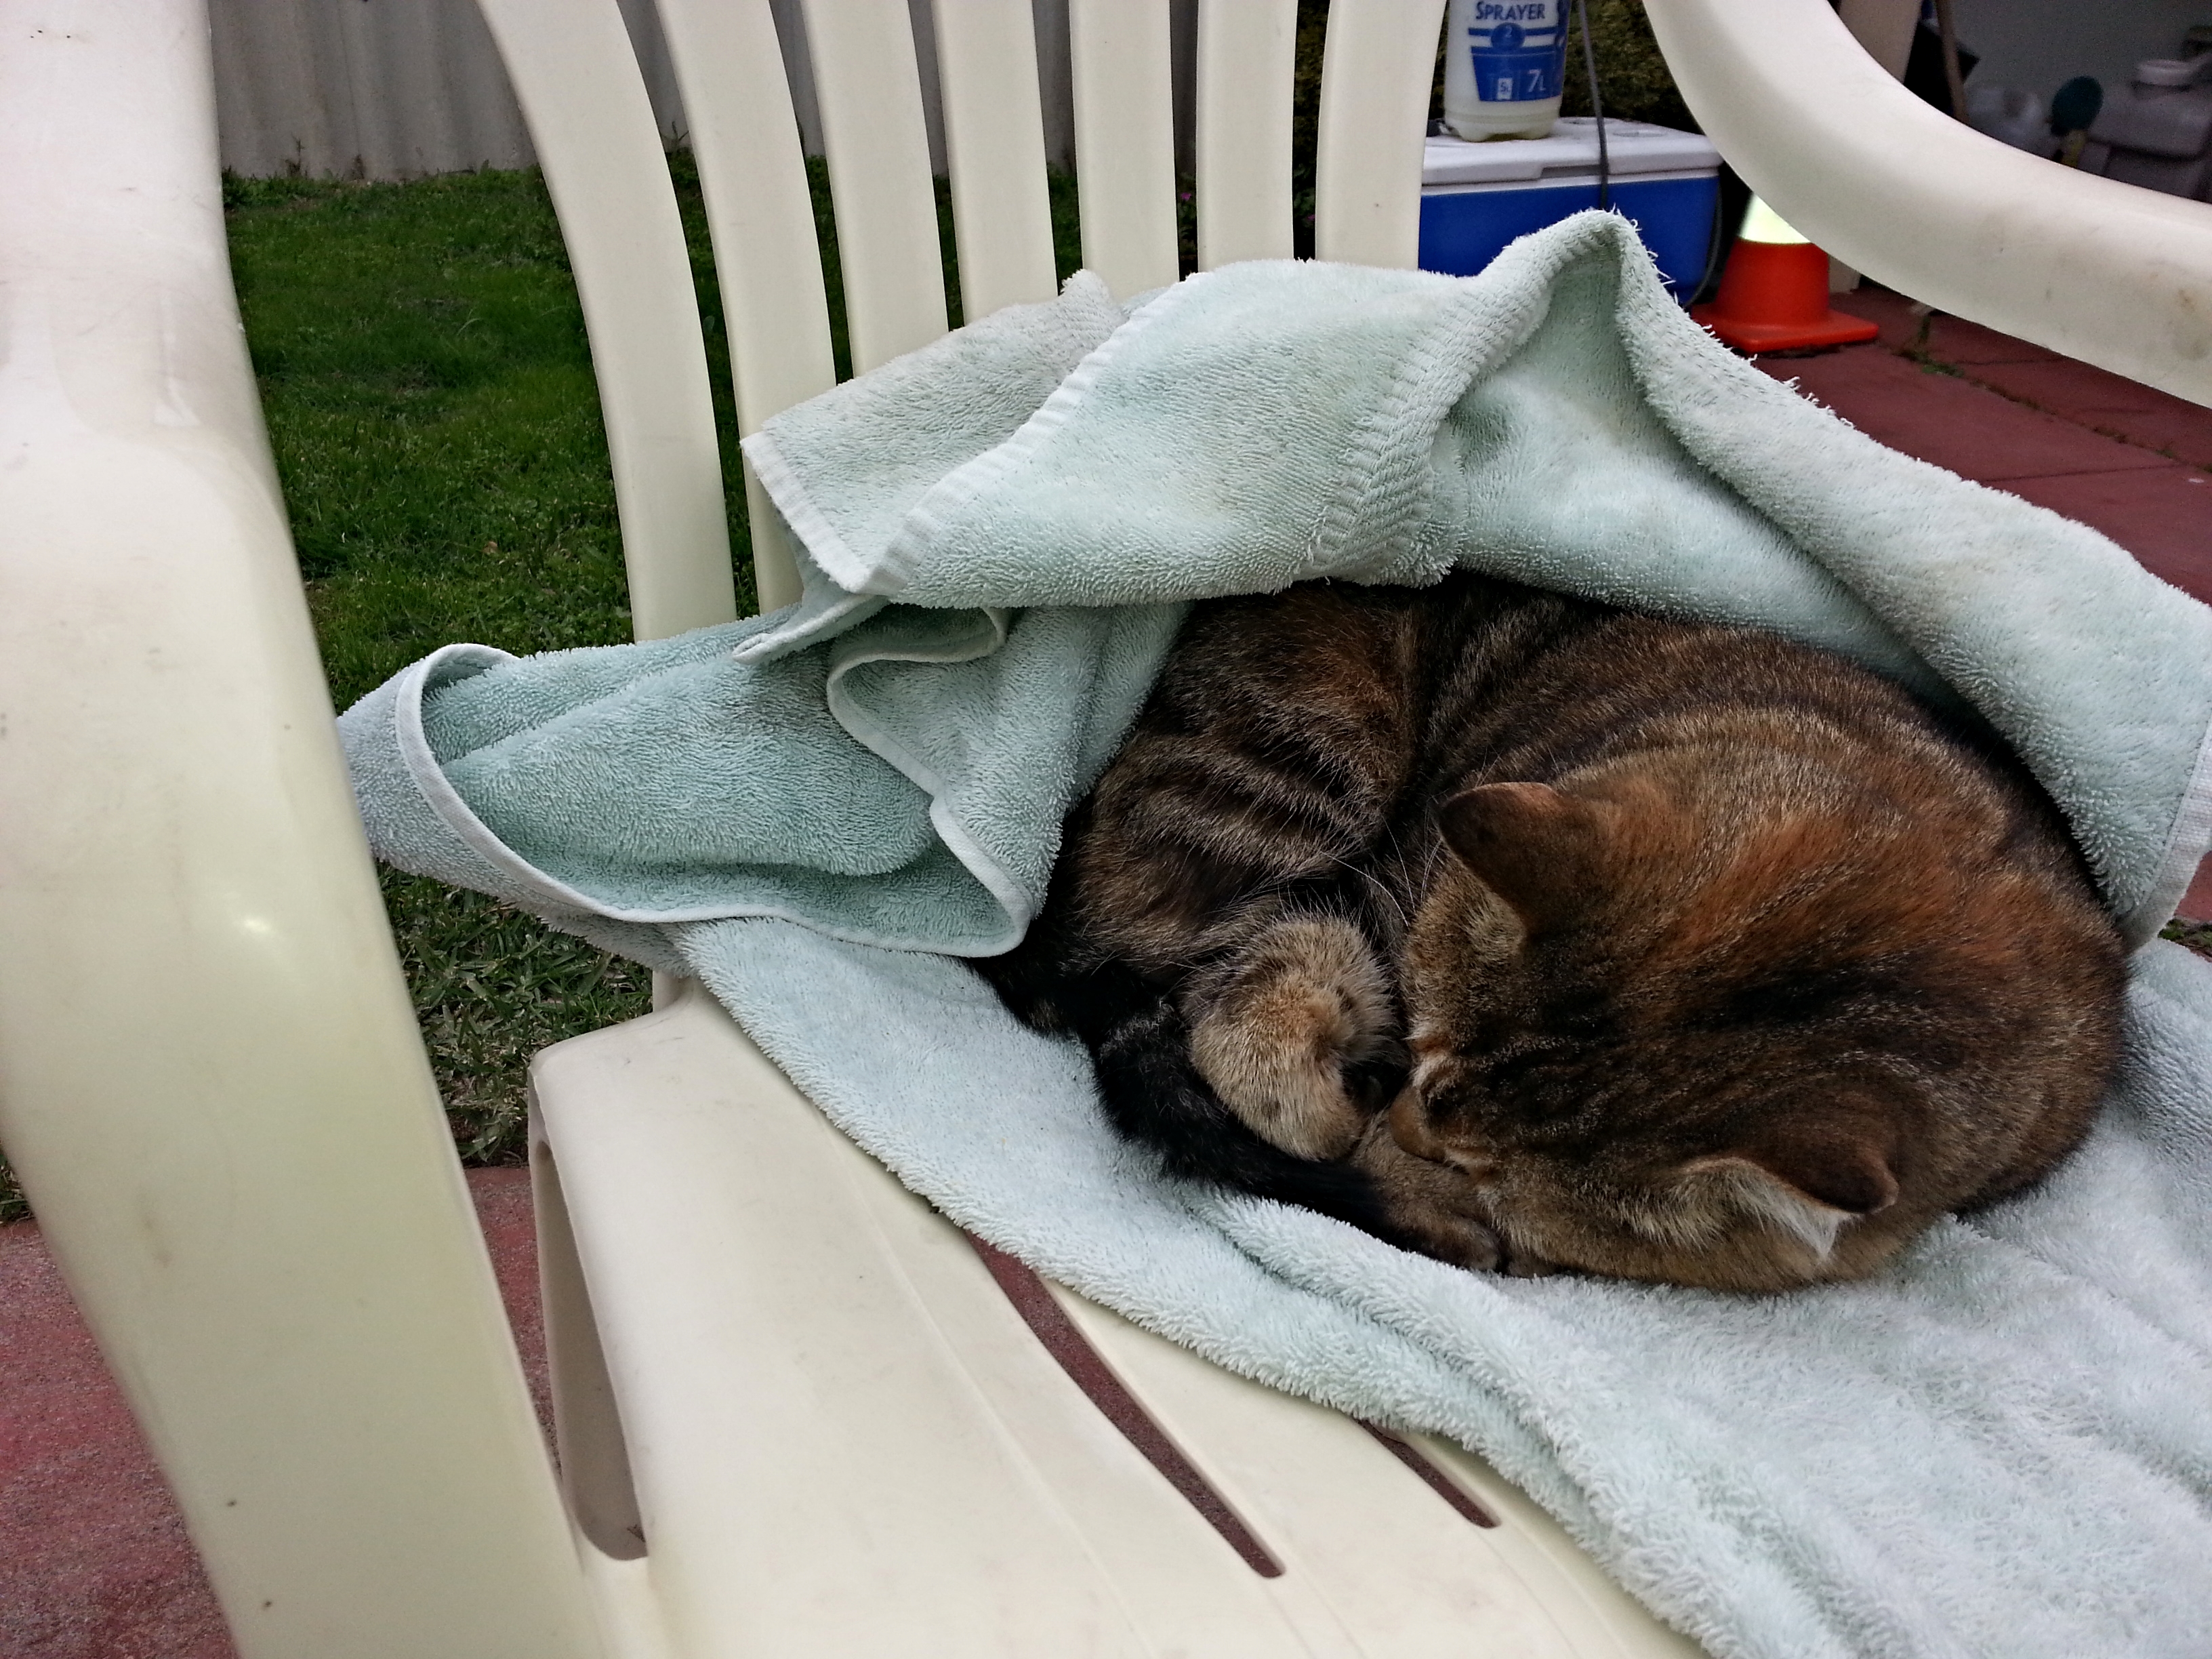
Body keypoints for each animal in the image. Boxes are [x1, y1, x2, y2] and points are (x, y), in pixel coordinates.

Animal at [976, 572, 2127, 1292]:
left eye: (1488, 1172)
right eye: (1417, 1060)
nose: (1397, 1118)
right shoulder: (1381, 891)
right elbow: (1257, 1040)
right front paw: (1354, 1142)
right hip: (1289, 769)